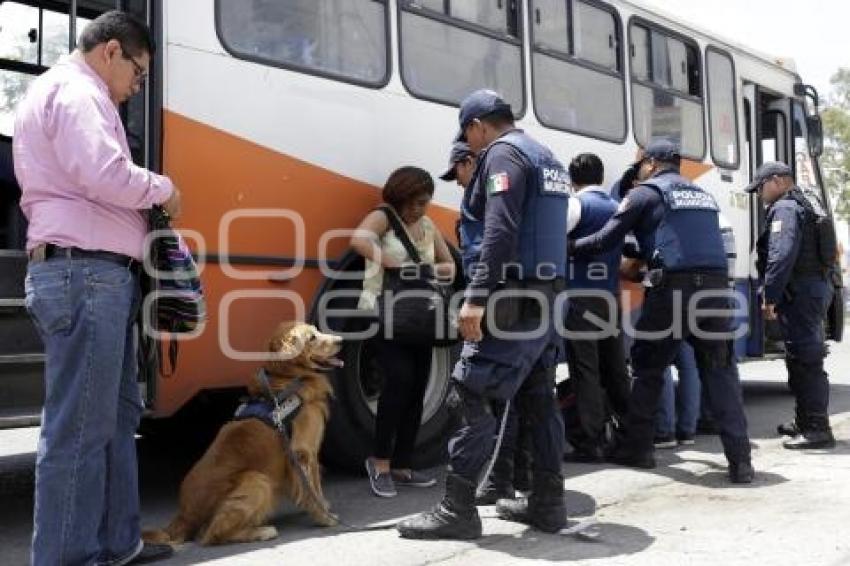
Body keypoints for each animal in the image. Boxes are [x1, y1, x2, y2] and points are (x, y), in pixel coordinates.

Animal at [145, 322, 342, 548]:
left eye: (316, 330)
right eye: (311, 337)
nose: (341, 340)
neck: (289, 378)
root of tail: (184, 515)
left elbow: (315, 485)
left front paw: (323, 506)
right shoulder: (302, 451)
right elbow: (312, 487)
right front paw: (325, 516)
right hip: (256, 479)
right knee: (210, 535)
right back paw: (261, 531)